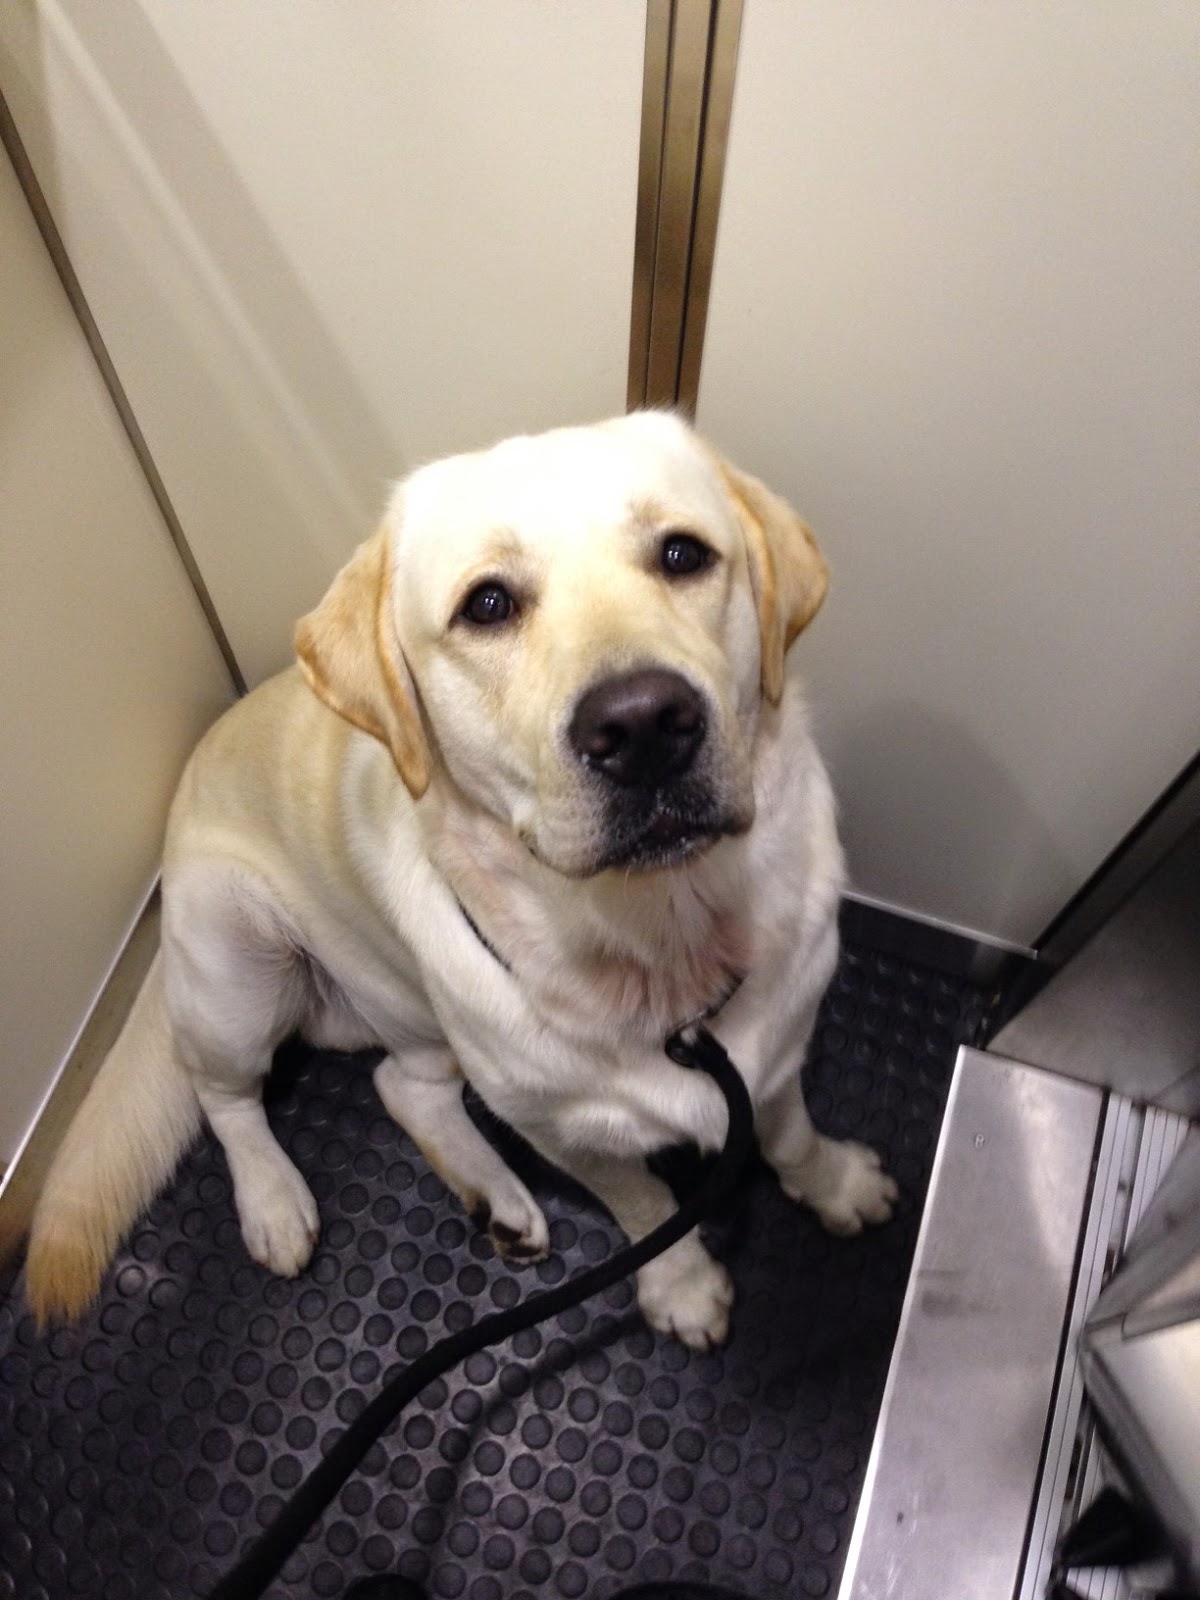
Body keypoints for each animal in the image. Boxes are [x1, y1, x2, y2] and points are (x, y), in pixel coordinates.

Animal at [25, 411, 897, 1349]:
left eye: (682, 554)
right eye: (487, 605)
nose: (644, 724)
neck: (664, 940)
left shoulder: (778, 1046)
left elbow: (790, 1133)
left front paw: (836, 1185)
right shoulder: (561, 1126)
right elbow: (645, 1204)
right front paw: (682, 1285)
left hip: (423, 1022)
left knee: (401, 1087)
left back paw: (497, 1198)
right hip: (239, 973)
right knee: (223, 1094)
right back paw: (273, 1203)